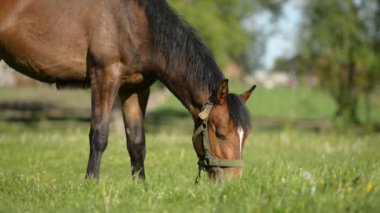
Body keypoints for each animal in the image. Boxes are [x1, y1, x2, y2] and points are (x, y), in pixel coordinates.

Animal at [0, 0, 255, 181]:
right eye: (220, 134)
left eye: (245, 136)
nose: (233, 182)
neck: (134, 23)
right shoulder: (104, 77)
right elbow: (99, 135)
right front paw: (91, 182)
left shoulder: (135, 89)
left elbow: (137, 142)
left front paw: (140, 184)